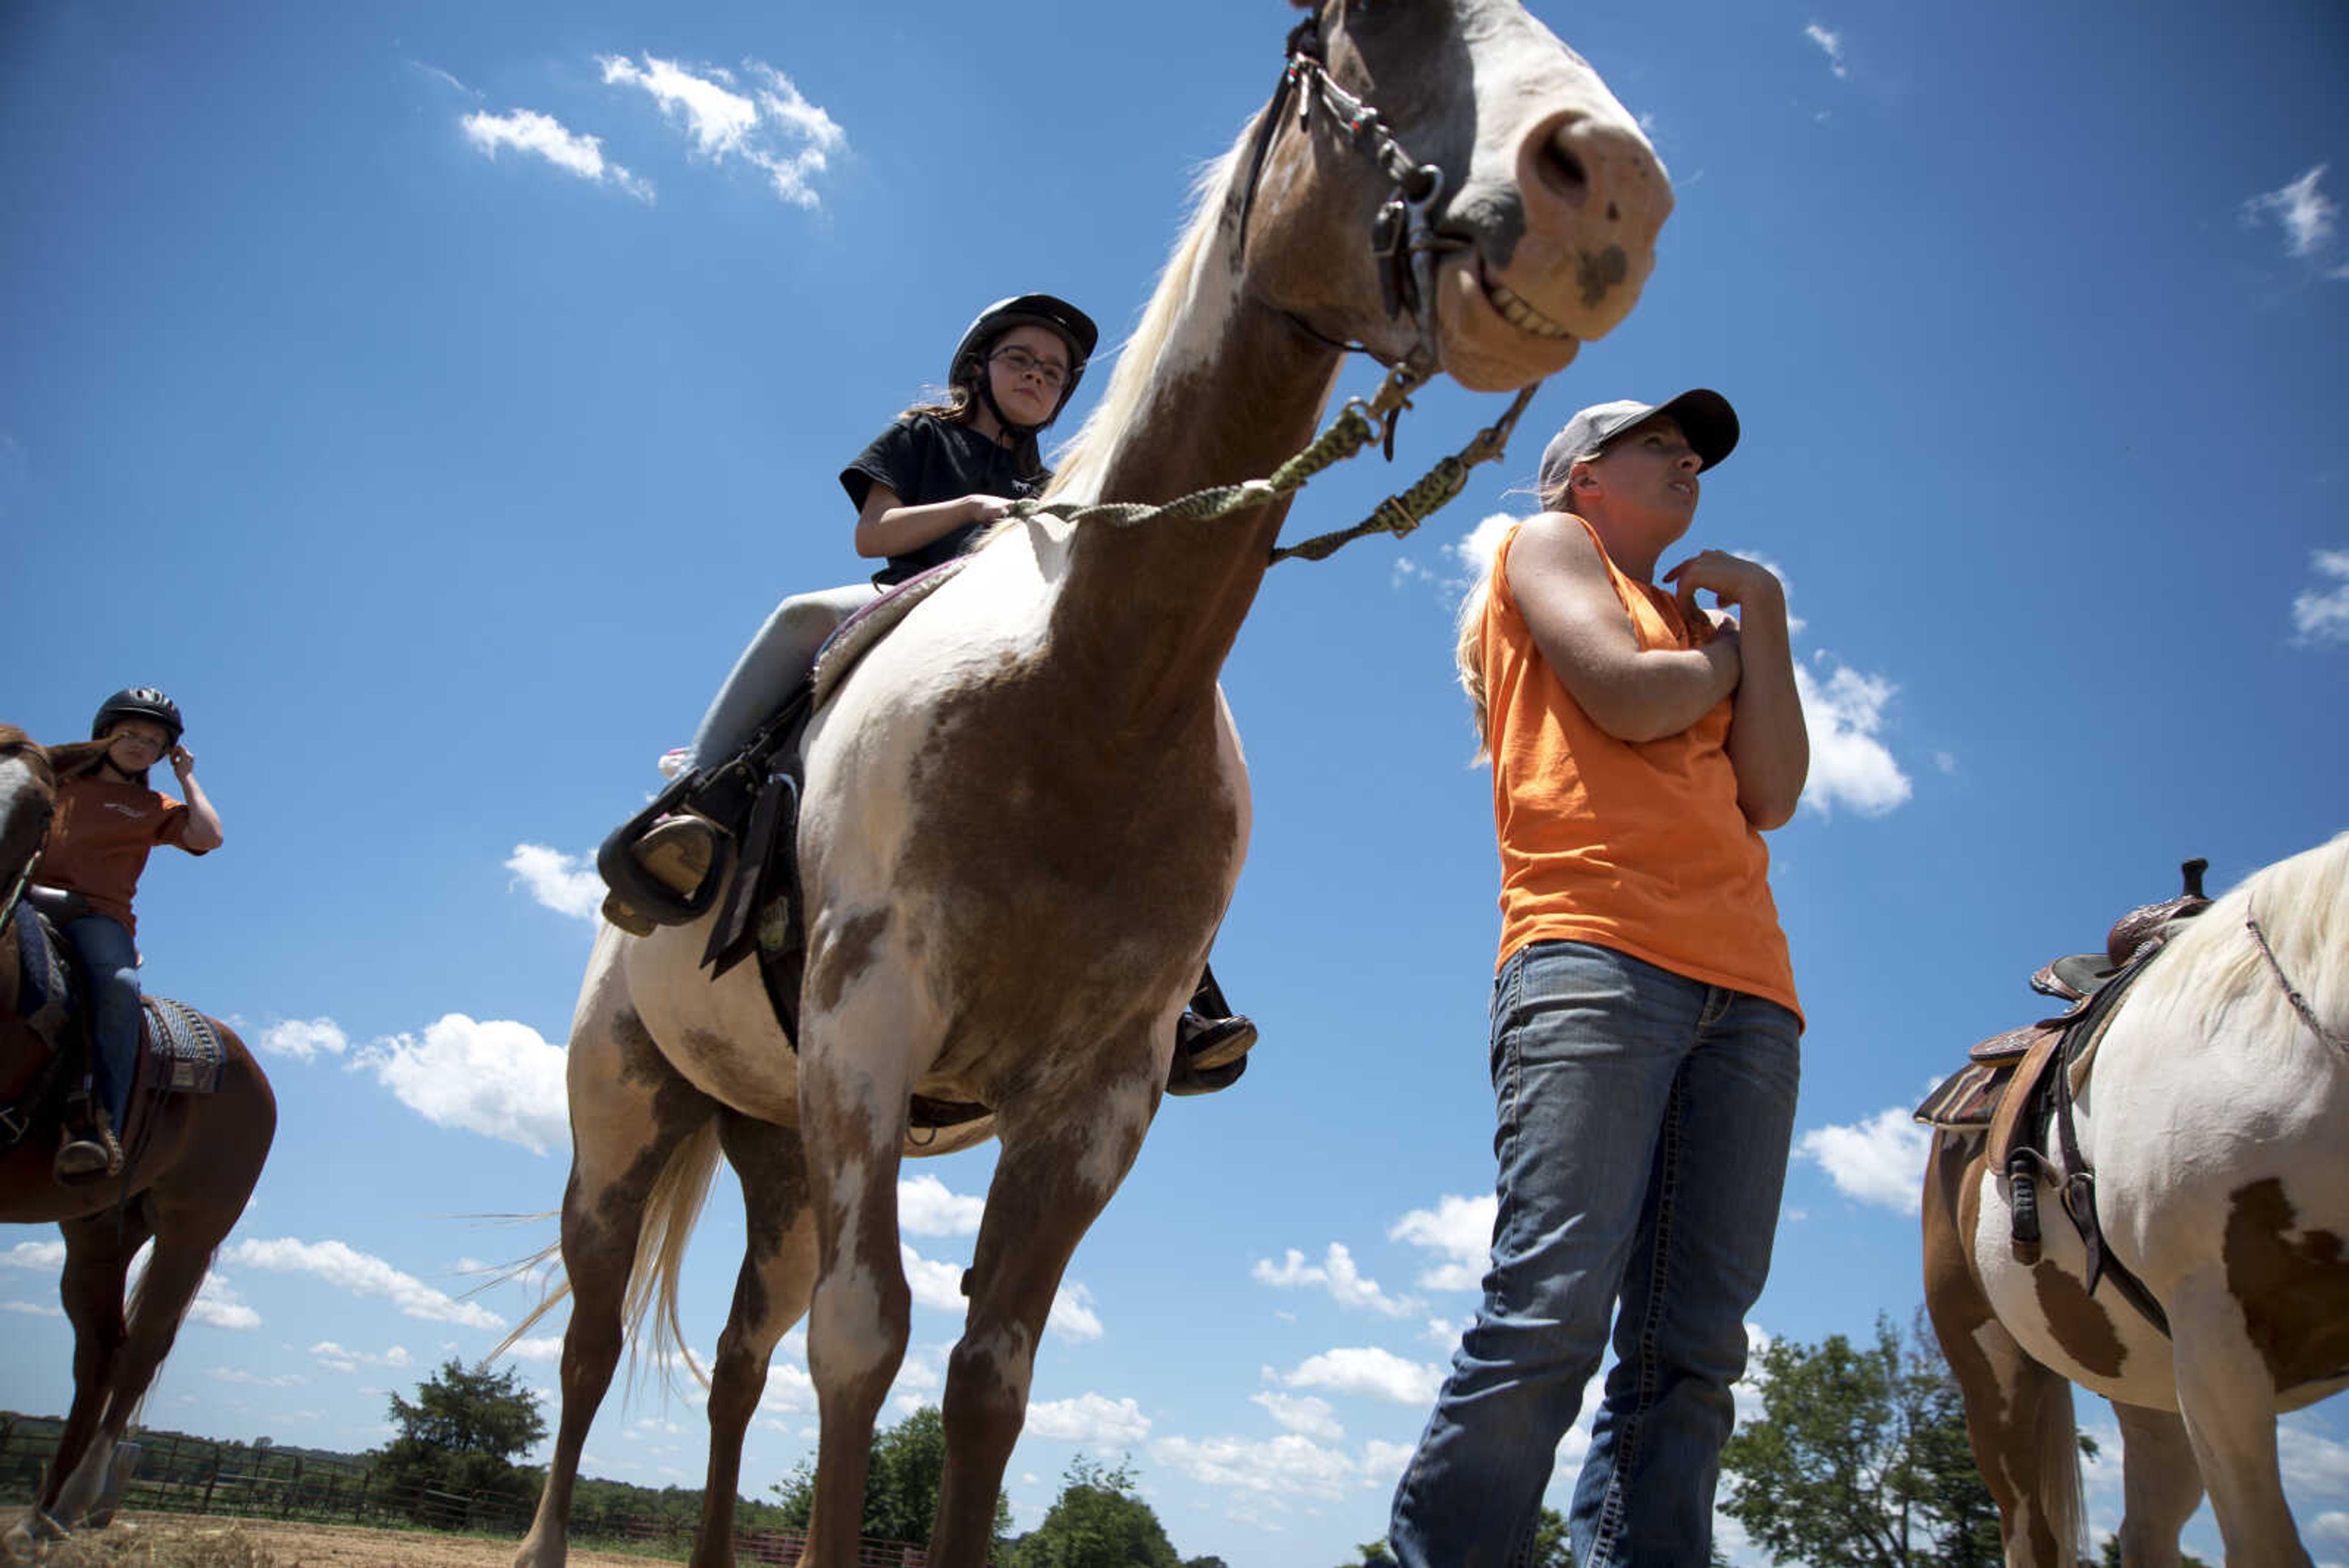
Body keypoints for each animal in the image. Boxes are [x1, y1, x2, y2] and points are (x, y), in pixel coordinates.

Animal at [0, 724, 277, 1561]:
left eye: (39, 811)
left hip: (190, 1228)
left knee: (140, 1348)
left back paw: (72, 1504)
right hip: (100, 1225)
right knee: (102, 1348)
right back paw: (40, 1515)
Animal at [510, 3, 1672, 1568]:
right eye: (1358, 20)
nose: (1608, 191)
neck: (1091, 692)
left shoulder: (1095, 1100)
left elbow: (987, 1377)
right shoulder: (872, 1020)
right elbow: (864, 1341)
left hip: (776, 1151)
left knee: (741, 1359)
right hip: (627, 1120)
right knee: (590, 1347)